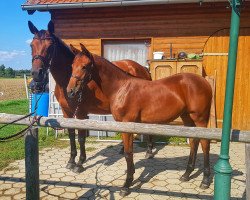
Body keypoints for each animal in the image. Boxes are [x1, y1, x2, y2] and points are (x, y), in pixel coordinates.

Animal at [27, 20, 152, 173]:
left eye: (50, 46)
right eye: (31, 45)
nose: (36, 73)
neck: (66, 80)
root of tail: (143, 68)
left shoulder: (81, 113)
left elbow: (81, 137)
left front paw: (80, 163)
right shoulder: (67, 112)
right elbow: (71, 135)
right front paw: (71, 161)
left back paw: (149, 151)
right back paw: (124, 148)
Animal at [66, 45, 213, 195]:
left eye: (84, 66)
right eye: (72, 65)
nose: (70, 91)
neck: (121, 89)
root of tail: (204, 82)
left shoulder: (127, 126)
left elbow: (128, 153)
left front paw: (126, 185)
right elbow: (128, 153)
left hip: (200, 119)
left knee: (205, 144)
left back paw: (205, 180)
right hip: (187, 118)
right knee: (194, 142)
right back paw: (186, 174)